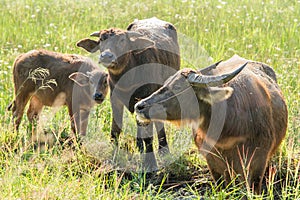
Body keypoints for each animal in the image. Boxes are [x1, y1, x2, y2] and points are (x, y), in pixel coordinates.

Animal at [77, 17, 180, 170]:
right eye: (101, 39)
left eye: (122, 40)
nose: (106, 56)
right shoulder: (115, 100)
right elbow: (116, 129)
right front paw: (113, 155)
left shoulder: (146, 99)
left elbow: (148, 134)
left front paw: (150, 163)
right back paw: (140, 146)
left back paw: (163, 149)